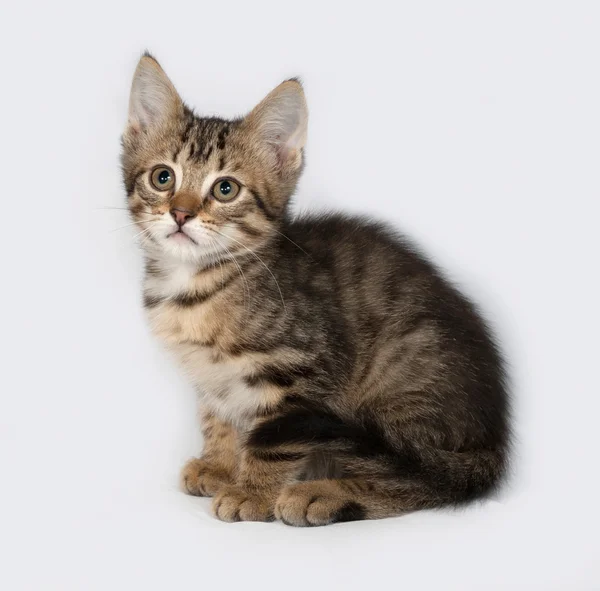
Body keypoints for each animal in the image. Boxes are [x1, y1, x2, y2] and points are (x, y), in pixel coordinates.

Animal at [122, 54, 510, 528]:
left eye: (225, 189)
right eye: (163, 178)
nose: (180, 213)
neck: (197, 284)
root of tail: (491, 442)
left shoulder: (302, 371)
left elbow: (273, 441)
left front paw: (251, 491)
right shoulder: (211, 377)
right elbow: (217, 416)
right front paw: (219, 464)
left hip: (405, 382)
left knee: (419, 479)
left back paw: (321, 495)